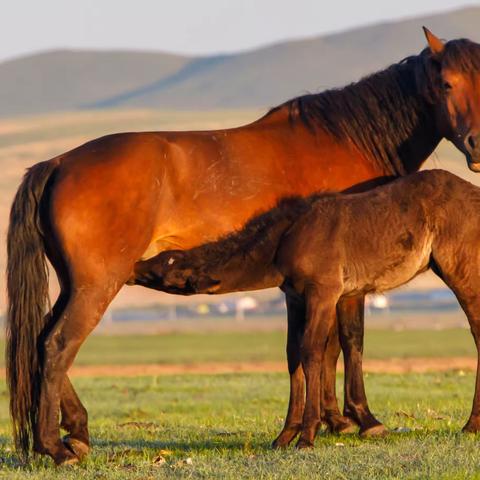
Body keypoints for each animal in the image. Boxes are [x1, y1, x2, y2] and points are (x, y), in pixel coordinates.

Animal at [132, 171, 480, 448]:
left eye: (168, 265)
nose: (135, 266)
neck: (285, 238)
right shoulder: (297, 296)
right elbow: (293, 354)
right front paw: (285, 435)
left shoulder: (323, 291)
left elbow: (312, 350)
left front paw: (307, 435)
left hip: (460, 268)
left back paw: (471, 424)